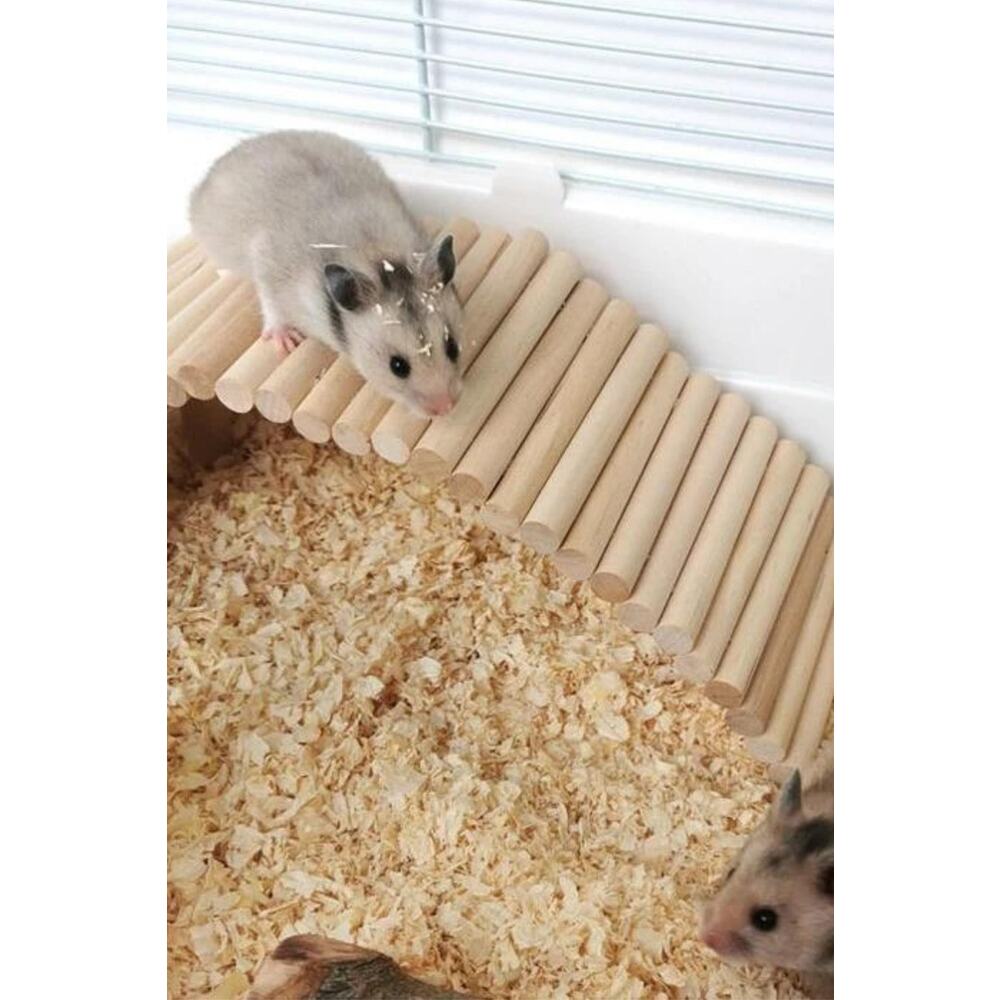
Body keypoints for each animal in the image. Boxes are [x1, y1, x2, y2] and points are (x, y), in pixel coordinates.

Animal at [189, 130, 463, 418]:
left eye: (453, 347)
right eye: (397, 366)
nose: (446, 407)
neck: (378, 255)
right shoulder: (268, 264)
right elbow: (272, 305)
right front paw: (287, 342)